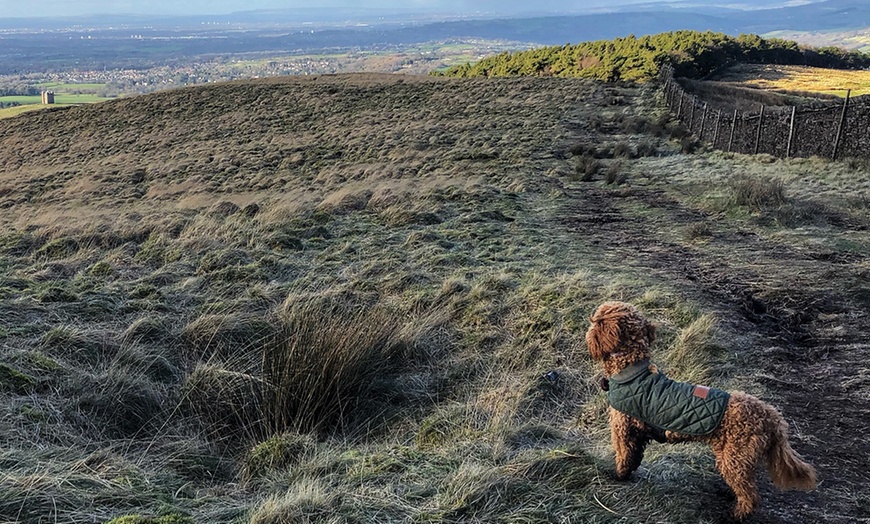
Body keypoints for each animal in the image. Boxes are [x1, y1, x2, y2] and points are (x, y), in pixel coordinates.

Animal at [584, 300, 816, 520]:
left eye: (596, 320)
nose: (588, 332)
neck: (631, 369)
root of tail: (771, 416)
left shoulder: (622, 429)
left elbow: (623, 456)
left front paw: (618, 476)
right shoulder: (638, 434)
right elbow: (634, 457)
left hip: (735, 458)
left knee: (751, 495)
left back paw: (736, 514)